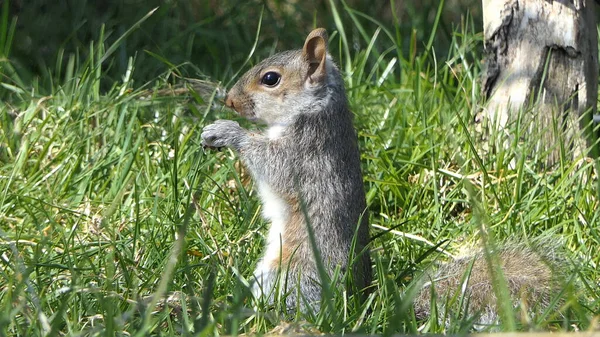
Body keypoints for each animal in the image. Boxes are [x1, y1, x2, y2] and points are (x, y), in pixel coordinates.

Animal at [202, 27, 370, 312]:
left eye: (270, 78)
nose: (230, 101)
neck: (313, 108)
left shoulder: (302, 153)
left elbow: (273, 165)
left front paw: (228, 131)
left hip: (289, 275)